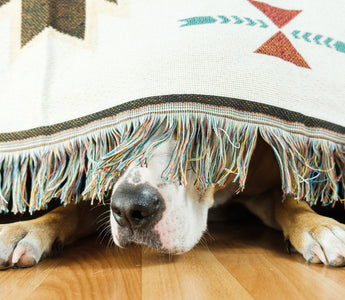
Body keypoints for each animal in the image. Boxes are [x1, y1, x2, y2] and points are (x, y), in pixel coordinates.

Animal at [0, 135, 344, 268]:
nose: (130, 209)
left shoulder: (266, 186)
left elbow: (292, 203)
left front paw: (320, 228)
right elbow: (68, 210)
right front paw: (25, 230)